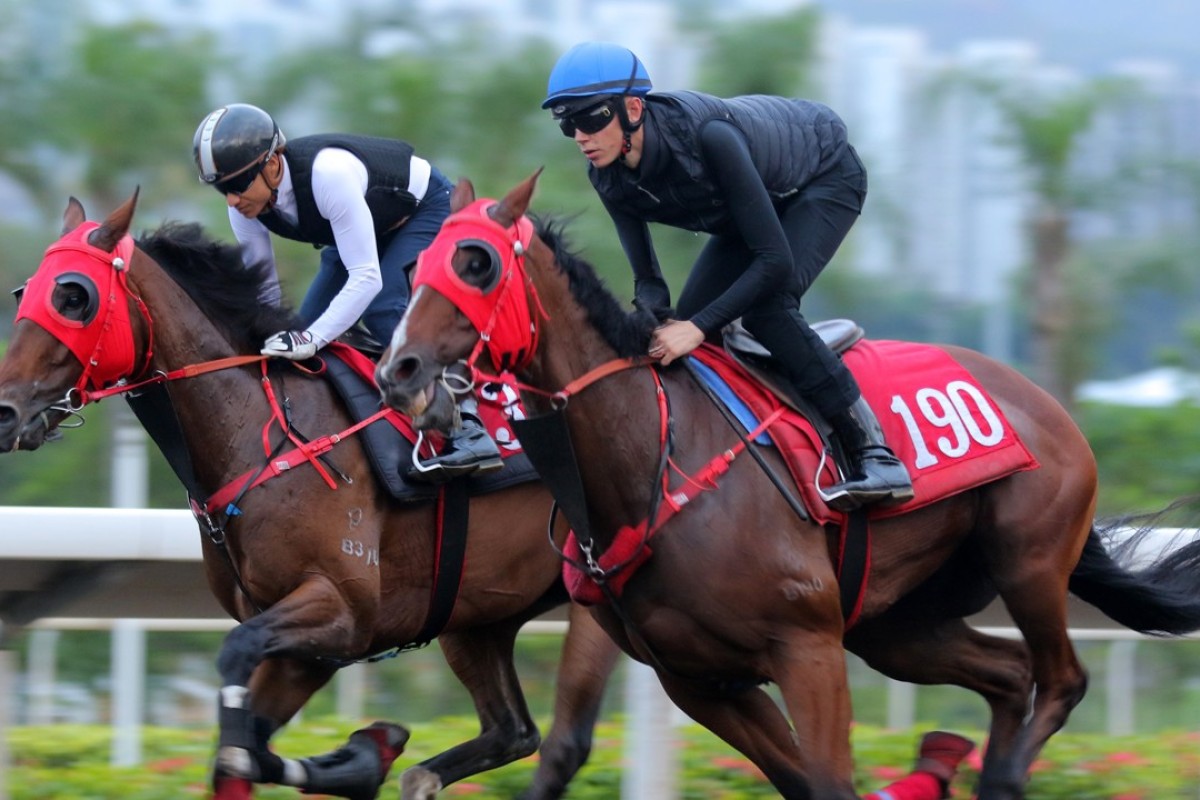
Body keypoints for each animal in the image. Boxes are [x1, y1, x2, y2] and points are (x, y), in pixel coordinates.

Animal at [0, 191, 619, 800]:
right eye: (24, 293)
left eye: (73, 296)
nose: (6, 412)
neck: (258, 431)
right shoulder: (308, 651)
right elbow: (246, 749)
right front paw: (368, 752)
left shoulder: (344, 610)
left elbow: (237, 678)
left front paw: (359, 754)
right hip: (478, 614)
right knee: (512, 731)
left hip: (597, 600)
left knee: (561, 745)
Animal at [376, 170, 1200, 800]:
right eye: (416, 269)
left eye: (477, 262)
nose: (399, 370)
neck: (650, 459)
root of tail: (1043, 401)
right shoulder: (699, 678)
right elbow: (801, 780)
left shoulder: (806, 647)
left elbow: (829, 782)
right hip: (899, 624)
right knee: (1008, 674)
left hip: (1026, 560)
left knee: (1060, 680)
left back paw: (1004, 775)